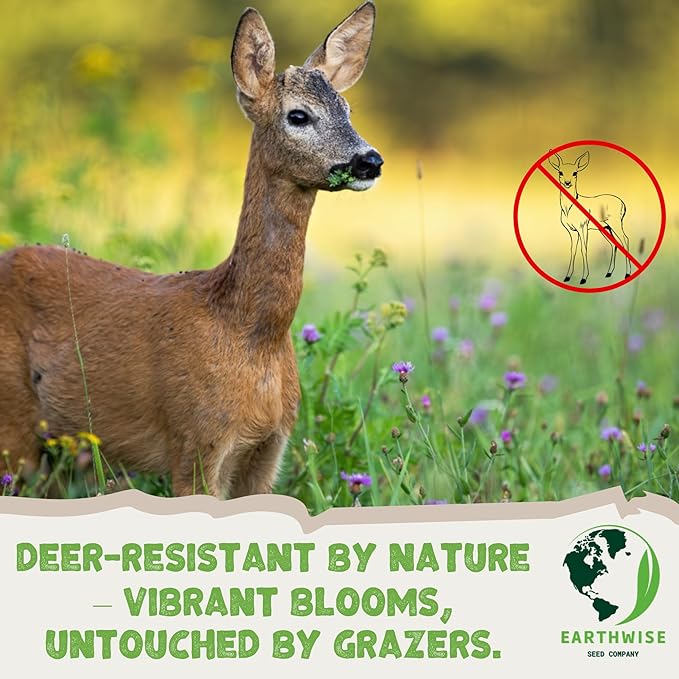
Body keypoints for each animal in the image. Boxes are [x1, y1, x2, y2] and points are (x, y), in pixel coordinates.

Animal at [0, 2, 383, 498]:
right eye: (299, 115)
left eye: (347, 108)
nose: (370, 160)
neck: (249, 334)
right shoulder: (195, 440)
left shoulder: (270, 448)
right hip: (12, 420)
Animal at [548, 150, 629, 285]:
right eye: (560, 172)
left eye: (575, 172)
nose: (567, 183)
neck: (569, 209)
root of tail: (623, 203)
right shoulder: (572, 231)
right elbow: (573, 250)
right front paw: (567, 277)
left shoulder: (582, 227)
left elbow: (584, 249)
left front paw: (584, 278)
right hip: (605, 228)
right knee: (614, 244)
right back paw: (608, 273)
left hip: (616, 224)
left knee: (625, 240)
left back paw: (627, 274)